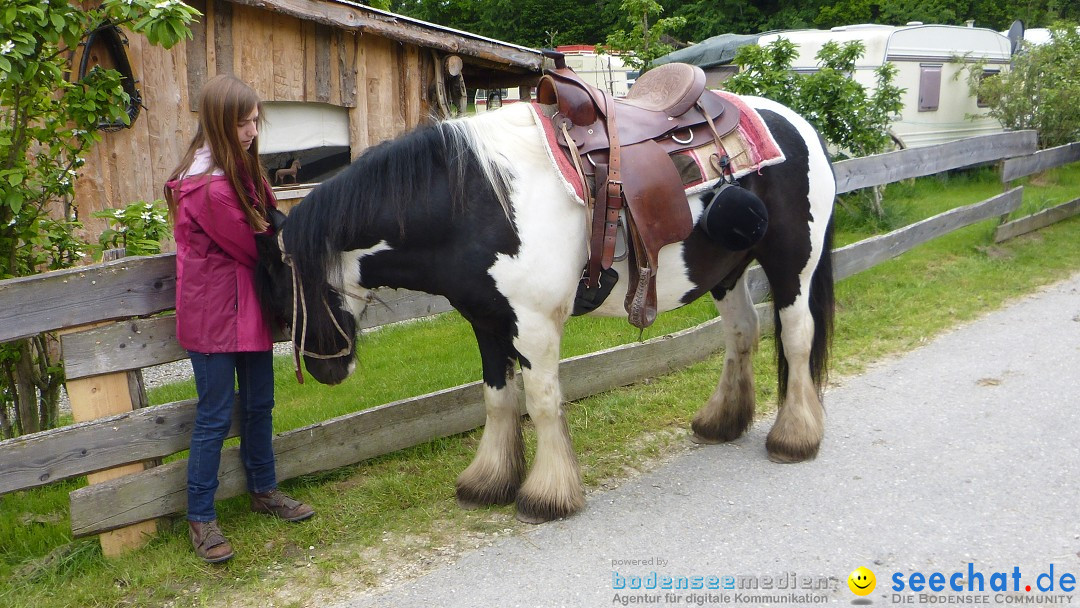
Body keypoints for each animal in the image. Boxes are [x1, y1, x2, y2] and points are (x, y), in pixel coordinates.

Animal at [257, 98, 838, 522]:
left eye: (282, 284)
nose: (325, 368)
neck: (473, 203)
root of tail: (798, 124)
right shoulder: (487, 321)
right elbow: (497, 400)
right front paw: (489, 480)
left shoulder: (533, 325)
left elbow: (540, 401)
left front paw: (548, 493)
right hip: (726, 272)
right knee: (743, 334)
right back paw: (723, 421)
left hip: (793, 264)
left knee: (796, 337)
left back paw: (795, 436)